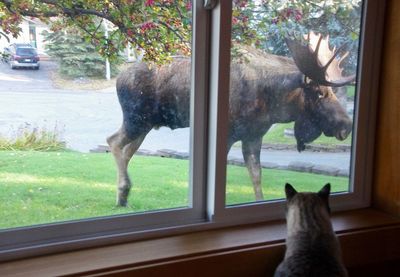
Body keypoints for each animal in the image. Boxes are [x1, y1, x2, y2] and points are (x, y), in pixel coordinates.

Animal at [107, 32, 354, 205]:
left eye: (334, 92)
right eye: (320, 92)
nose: (347, 125)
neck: (272, 100)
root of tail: (119, 77)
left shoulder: (254, 136)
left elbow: (256, 175)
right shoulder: (228, 135)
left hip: (146, 124)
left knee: (127, 151)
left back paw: (122, 197)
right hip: (135, 119)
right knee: (113, 141)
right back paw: (124, 190)